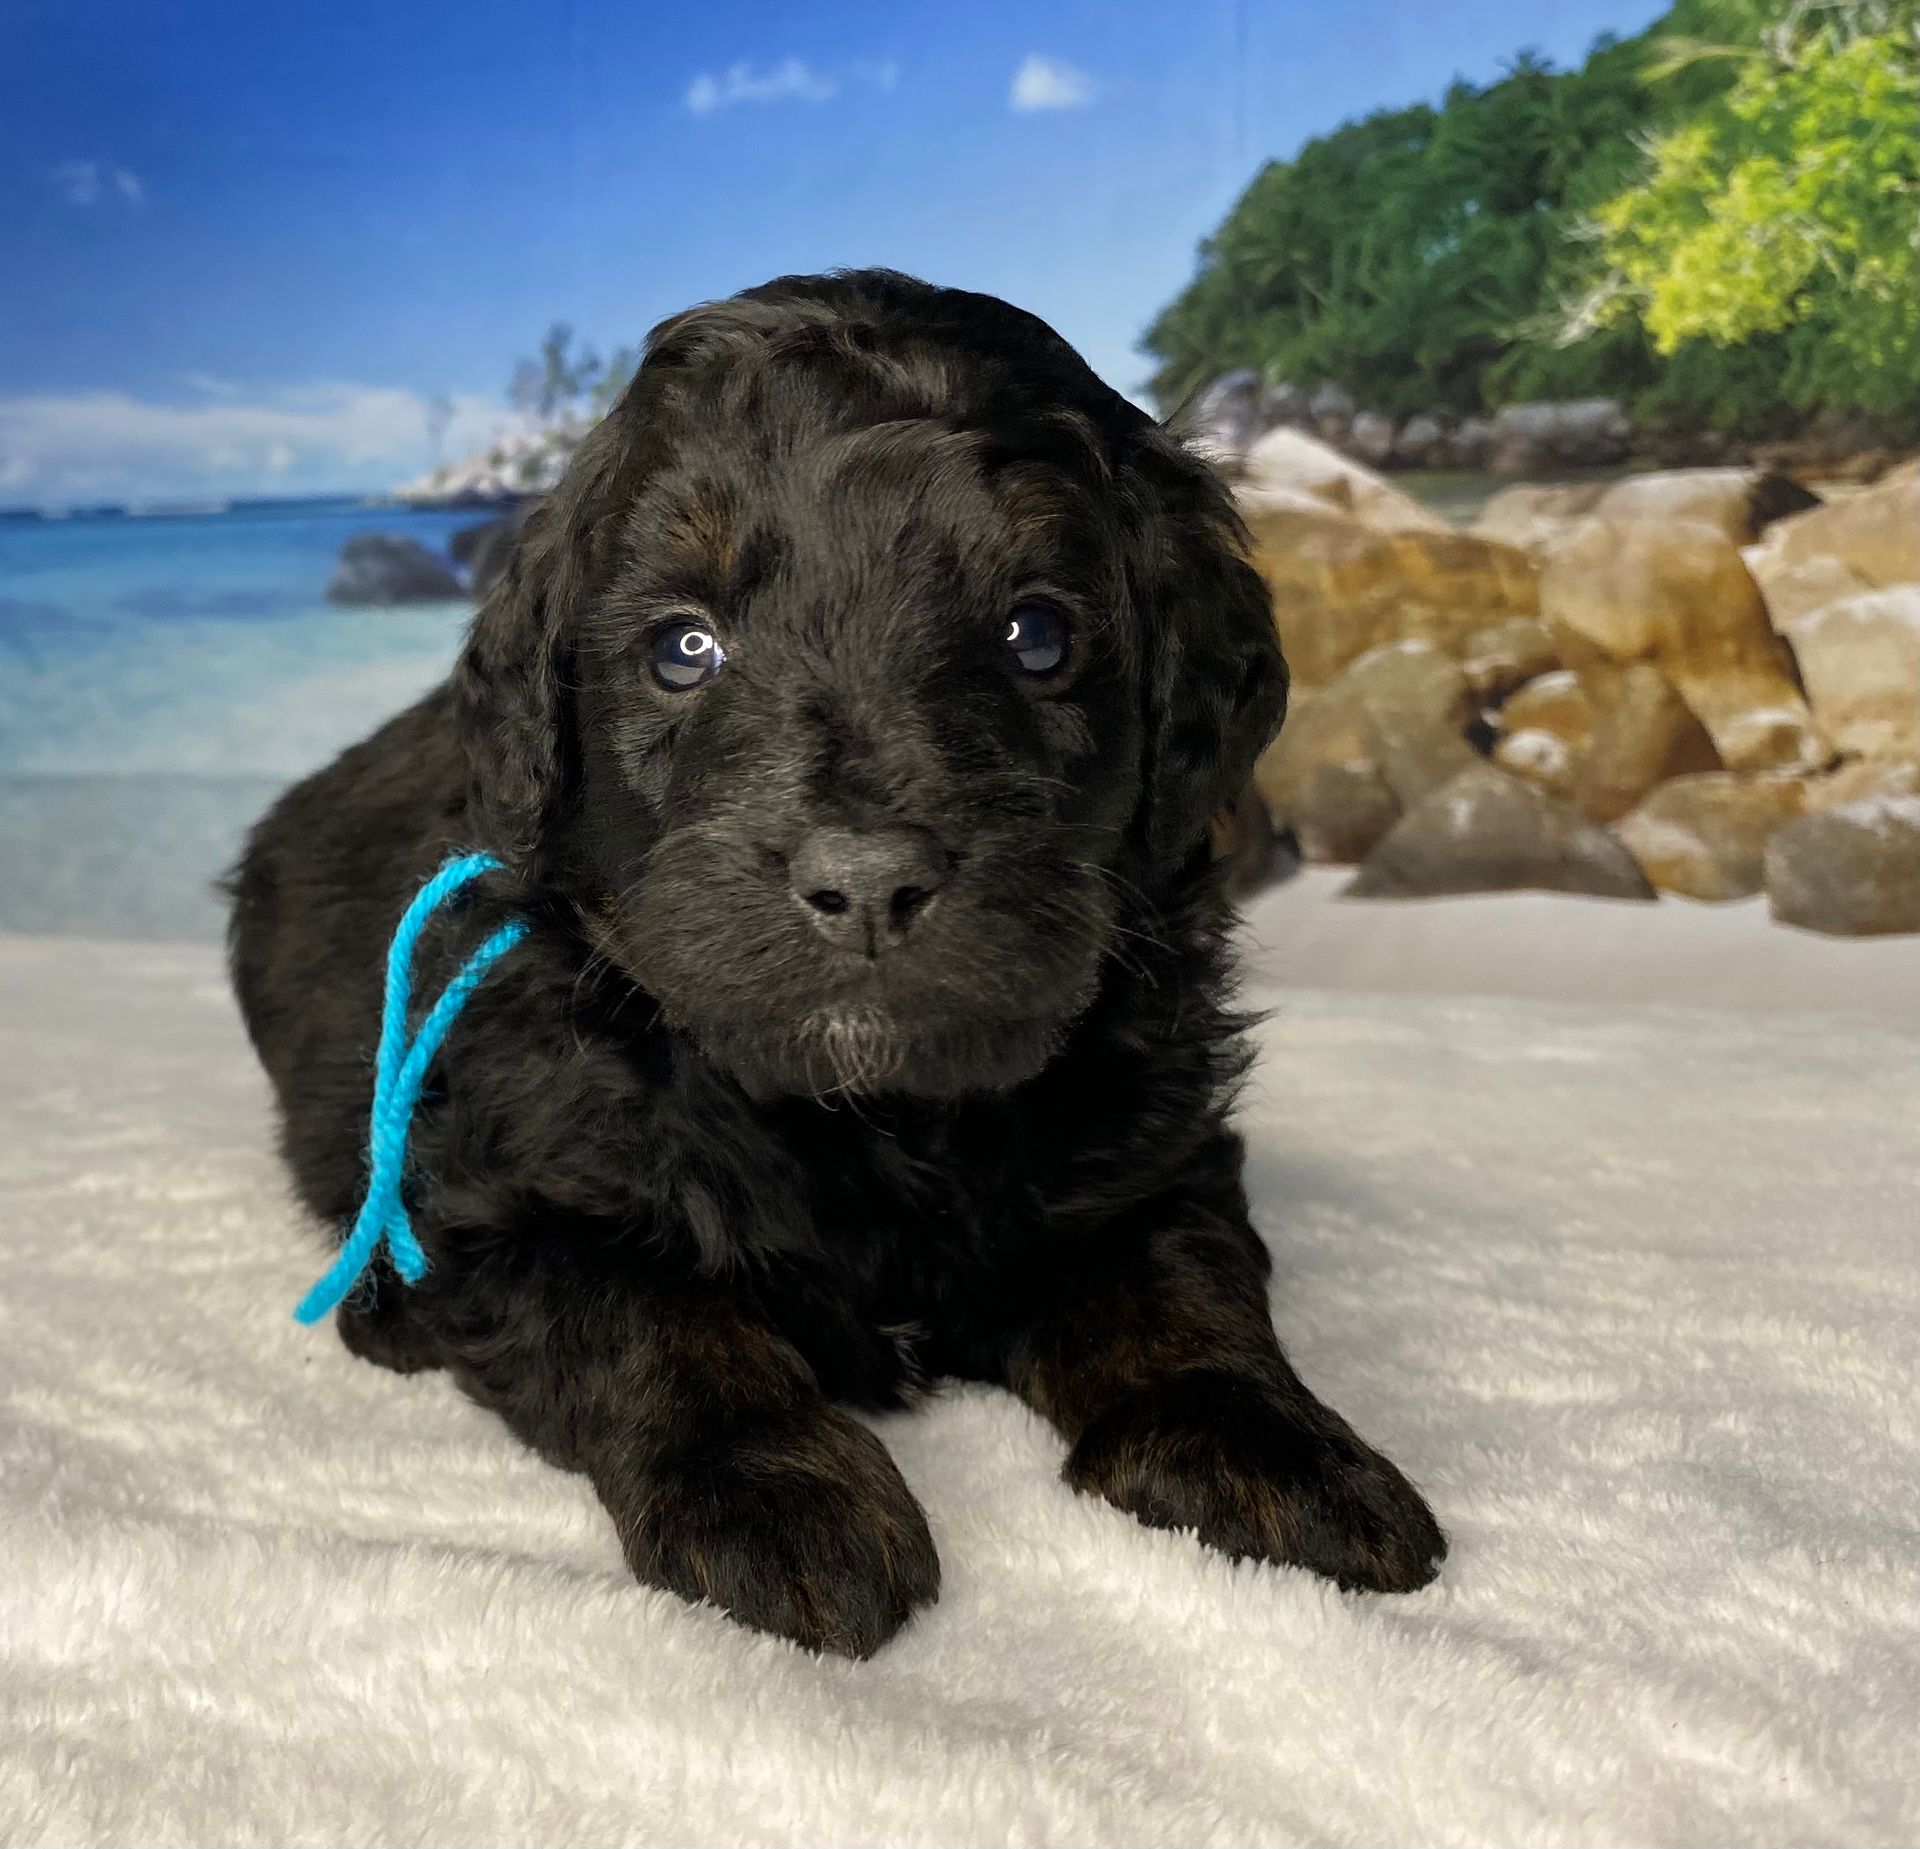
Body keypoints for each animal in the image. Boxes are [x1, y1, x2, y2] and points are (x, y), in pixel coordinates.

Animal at [228, 270, 1443, 1666]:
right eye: (685, 648)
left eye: (1036, 634)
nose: (866, 883)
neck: (871, 1114)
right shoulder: (496, 1191)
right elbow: (651, 1314)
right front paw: (775, 1493)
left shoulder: (1146, 1127)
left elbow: (1179, 1276)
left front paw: (1262, 1441)